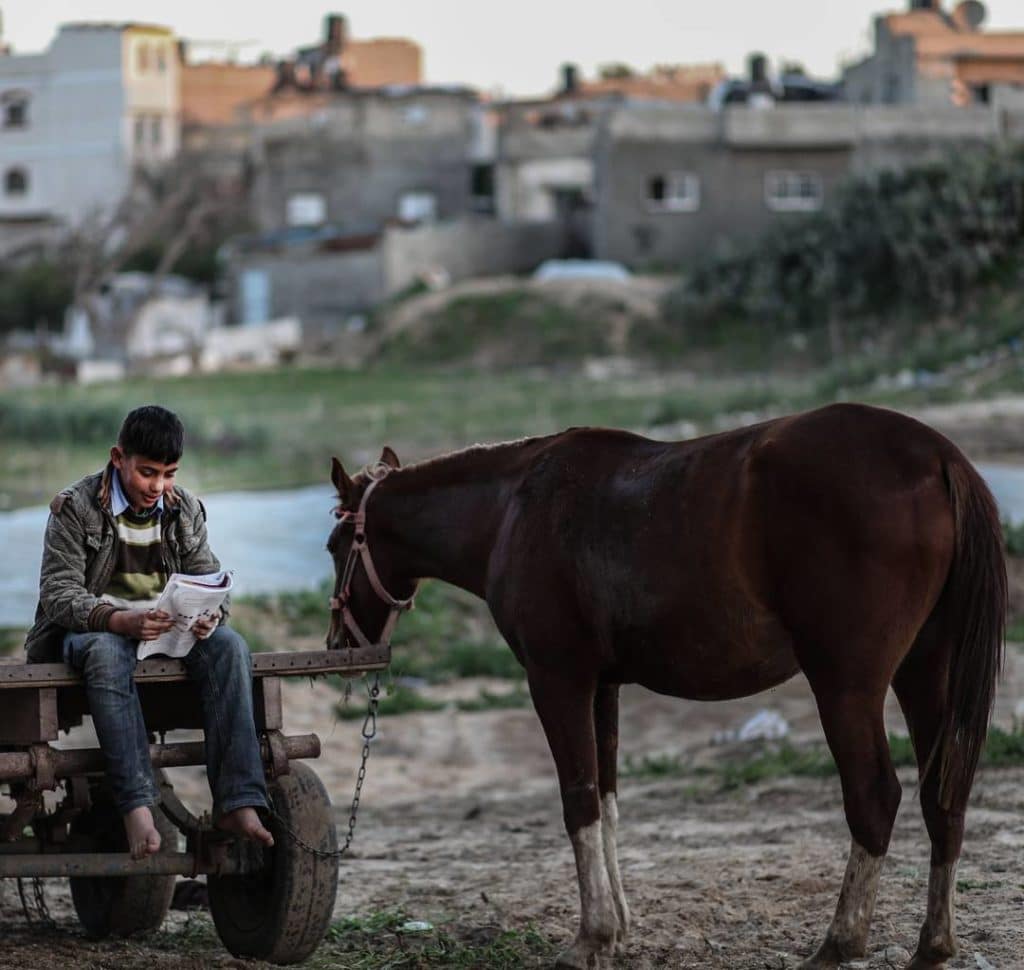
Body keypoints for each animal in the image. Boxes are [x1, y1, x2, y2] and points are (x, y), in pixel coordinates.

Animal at [324, 402, 1006, 970]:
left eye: (335, 545)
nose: (338, 647)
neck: (514, 508)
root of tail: (938, 456)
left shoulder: (557, 680)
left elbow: (578, 801)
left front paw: (591, 937)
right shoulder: (603, 688)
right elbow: (607, 801)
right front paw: (617, 930)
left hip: (846, 685)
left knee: (874, 797)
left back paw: (841, 941)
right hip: (925, 673)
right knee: (943, 797)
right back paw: (933, 943)